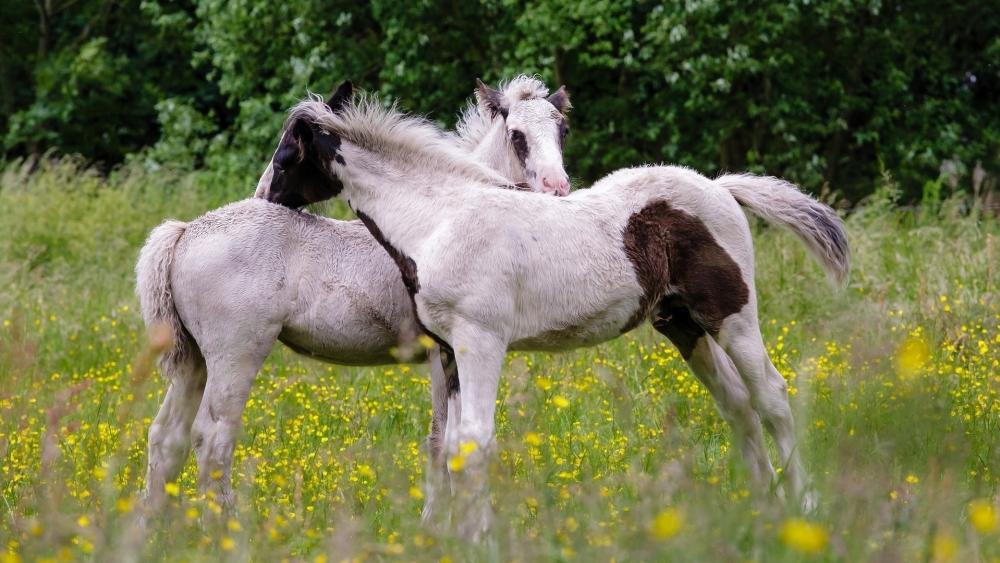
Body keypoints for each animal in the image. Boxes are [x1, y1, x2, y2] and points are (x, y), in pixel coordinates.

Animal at [136, 77, 572, 512]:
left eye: (562, 130)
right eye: (516, 135)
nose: (557, 188)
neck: (437, 218)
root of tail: (184, 232)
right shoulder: (443, 353)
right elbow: (440, 439)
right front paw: (435, 518)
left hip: (194, 360)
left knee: (166, 437)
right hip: (235, 356)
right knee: (212, 438)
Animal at [274, 91, 852, 536]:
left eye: (283, 159)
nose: (267, 198)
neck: (441, 218)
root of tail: (720, 186)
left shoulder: (481, 340)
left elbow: (475, 443)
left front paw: (480, 540)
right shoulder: (451, 351)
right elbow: (453, 446)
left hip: (732, 314)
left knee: (771, 396)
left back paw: (804, 506)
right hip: (681, 323)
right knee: (736, 404)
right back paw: (761, 508)